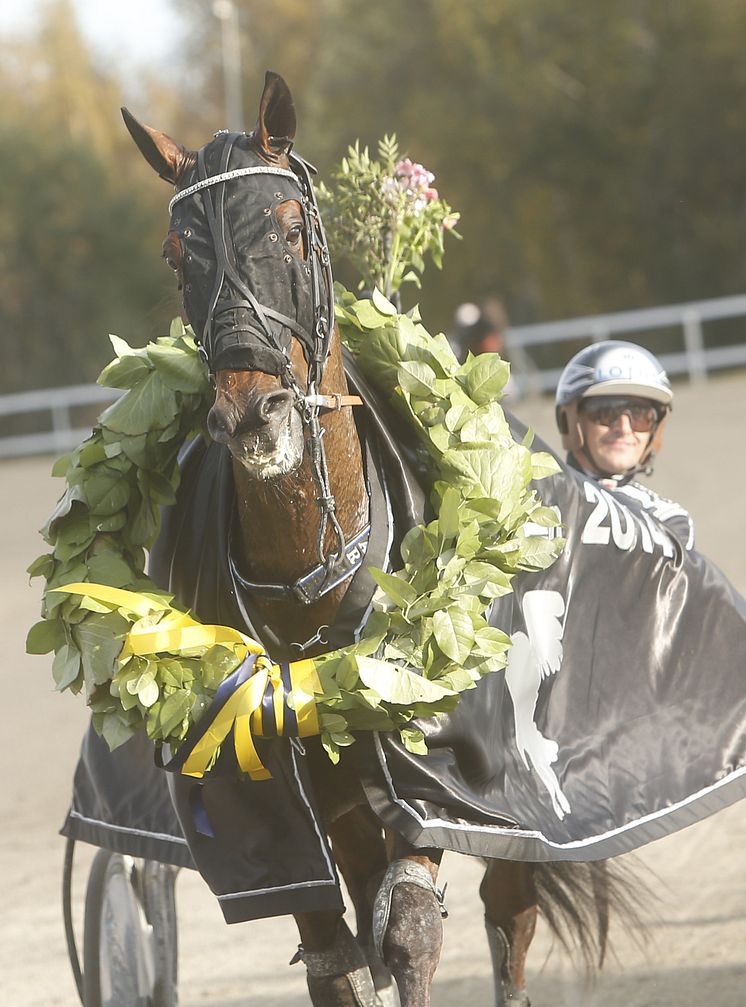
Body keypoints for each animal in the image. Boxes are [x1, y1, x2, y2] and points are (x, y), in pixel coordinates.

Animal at [123, 70, 628, 1007]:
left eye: (290, 228)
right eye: (178, 254)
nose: (253, 414)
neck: (311, 579)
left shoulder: (431, 775)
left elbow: (411, 931)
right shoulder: (282, 814)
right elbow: (337, 959)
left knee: (510, 913)